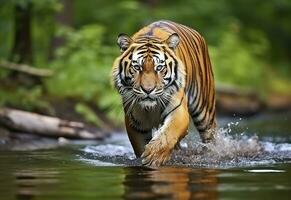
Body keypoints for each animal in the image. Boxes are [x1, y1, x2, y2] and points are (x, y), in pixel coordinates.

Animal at [112, 20, 217, 167]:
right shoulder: (135, 123)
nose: (148, 90)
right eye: (137, 67)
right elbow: (140, 146)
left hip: (204, 111)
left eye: (159, 67)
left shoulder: (178, 111)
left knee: (210, 136)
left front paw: (154, 155)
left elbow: (168, 134)